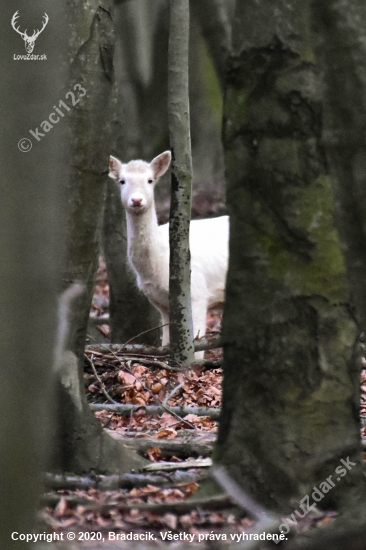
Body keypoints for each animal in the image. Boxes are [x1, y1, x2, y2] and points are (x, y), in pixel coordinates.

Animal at [108, 151, 229, 360]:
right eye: (122, 181)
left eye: (150, 180)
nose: (137, 200)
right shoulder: (160, 303)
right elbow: (165, 343)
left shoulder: (197, 293)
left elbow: (197, 350)